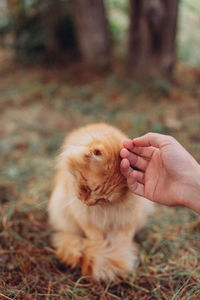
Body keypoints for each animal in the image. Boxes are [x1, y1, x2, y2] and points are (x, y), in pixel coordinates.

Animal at [48, 122, 153, 282]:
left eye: (103, 199)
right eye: (87, 188)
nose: (88, 203)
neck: (105, 210)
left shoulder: (126, 221)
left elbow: (121, 241)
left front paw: (121, 256)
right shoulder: (86, 220)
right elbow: (97, 241)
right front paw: (109, 254)